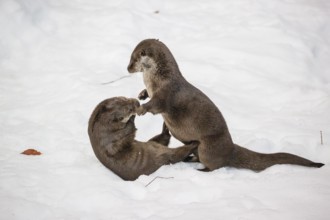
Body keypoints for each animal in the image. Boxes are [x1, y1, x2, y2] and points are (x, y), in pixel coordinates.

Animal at [127, 40, 324, 173]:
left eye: (133, 59)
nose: (128, 68)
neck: (158, 78)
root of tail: (230, 148)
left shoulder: (167, 93)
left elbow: (157, 105)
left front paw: (142, 108)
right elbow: (146, 94)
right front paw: (141, 94)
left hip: (208, 147)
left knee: (214, 165)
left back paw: (200, 168)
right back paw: (189, 159)